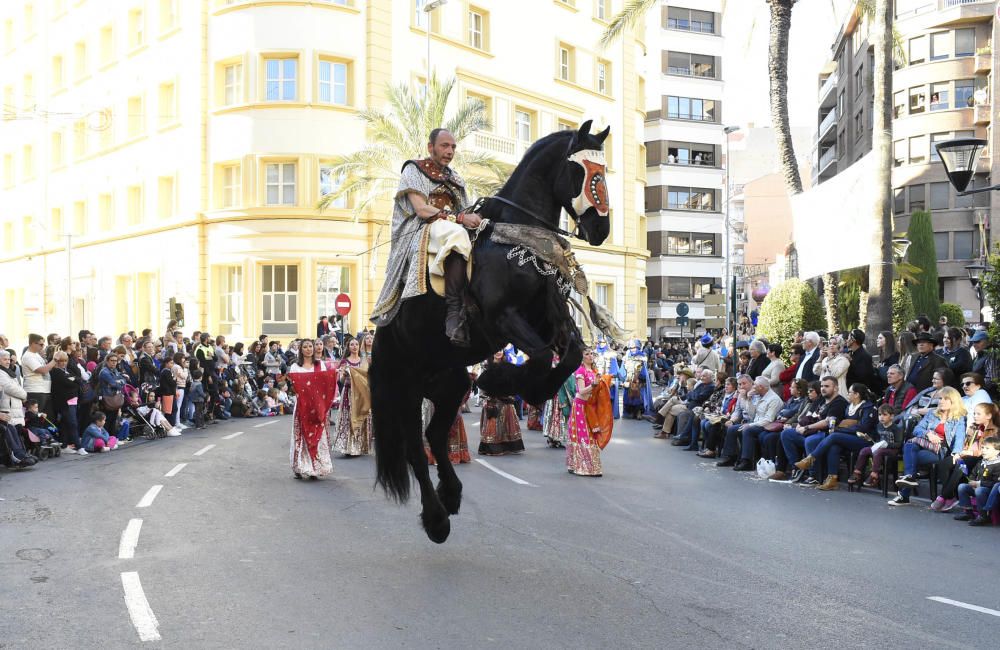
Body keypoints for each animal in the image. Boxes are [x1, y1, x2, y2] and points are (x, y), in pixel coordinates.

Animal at [372, 119, 612, 540]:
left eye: (604, 170)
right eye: (581, 170)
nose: (601, 226)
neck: (518, 238)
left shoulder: (549, 318)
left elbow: (569, 355)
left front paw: (522, 386)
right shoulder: (504, 318)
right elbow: (541, 357)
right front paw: (502, 379)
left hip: (450, 382)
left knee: (435, 435)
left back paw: (451, 495)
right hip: (407, 387)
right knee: (415, 448)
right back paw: (435, 518)